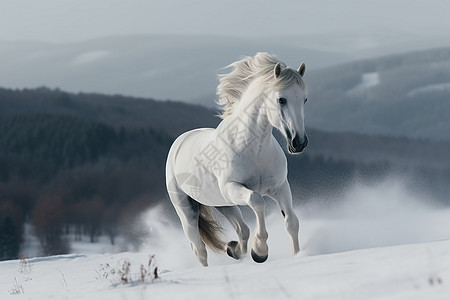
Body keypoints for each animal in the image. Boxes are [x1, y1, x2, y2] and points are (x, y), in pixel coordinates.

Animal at [166, 52, 310, 266]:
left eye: (304, 99)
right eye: (281, 99)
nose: (299, 142)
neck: (254, 149)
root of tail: (180, 142)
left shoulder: (280, 187)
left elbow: (291, 222)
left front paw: (298, 256)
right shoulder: (233, 187)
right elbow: (257, 201)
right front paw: (260, 251)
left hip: (224, 204)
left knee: (242, 230)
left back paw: (233, 250)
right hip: (187, 210)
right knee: (199, 248)